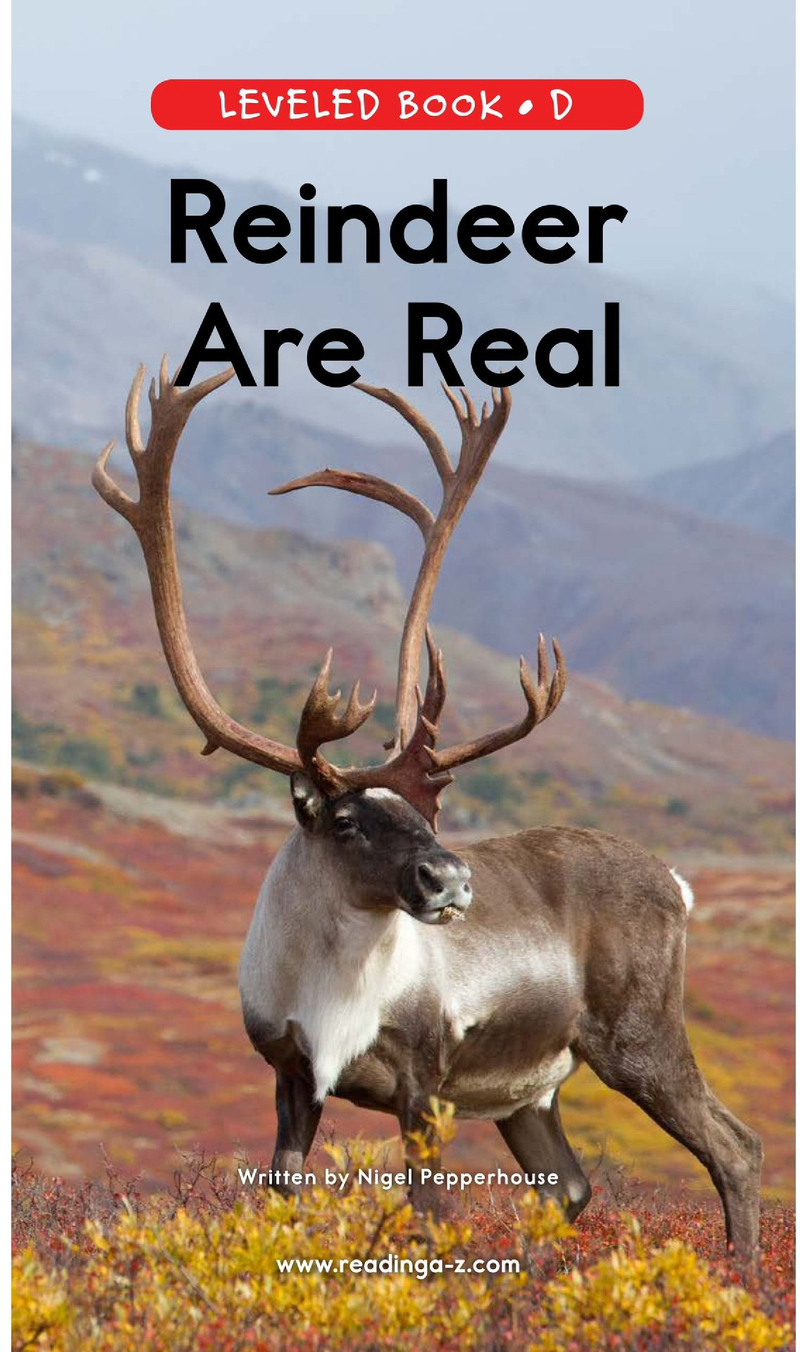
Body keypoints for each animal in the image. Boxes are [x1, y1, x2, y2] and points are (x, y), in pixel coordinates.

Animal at [92, 359, 763, 1258]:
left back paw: (744, 1274)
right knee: (571, 1185)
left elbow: (427, 1218)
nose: (450, 880)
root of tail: (678, 883)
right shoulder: (291, 1077)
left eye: (430, 815)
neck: (331, 986)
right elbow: (280, 1200)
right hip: (532, 1090)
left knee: (734, 1146)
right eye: (346, 821)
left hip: (638, 1039)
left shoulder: (426, 1085)